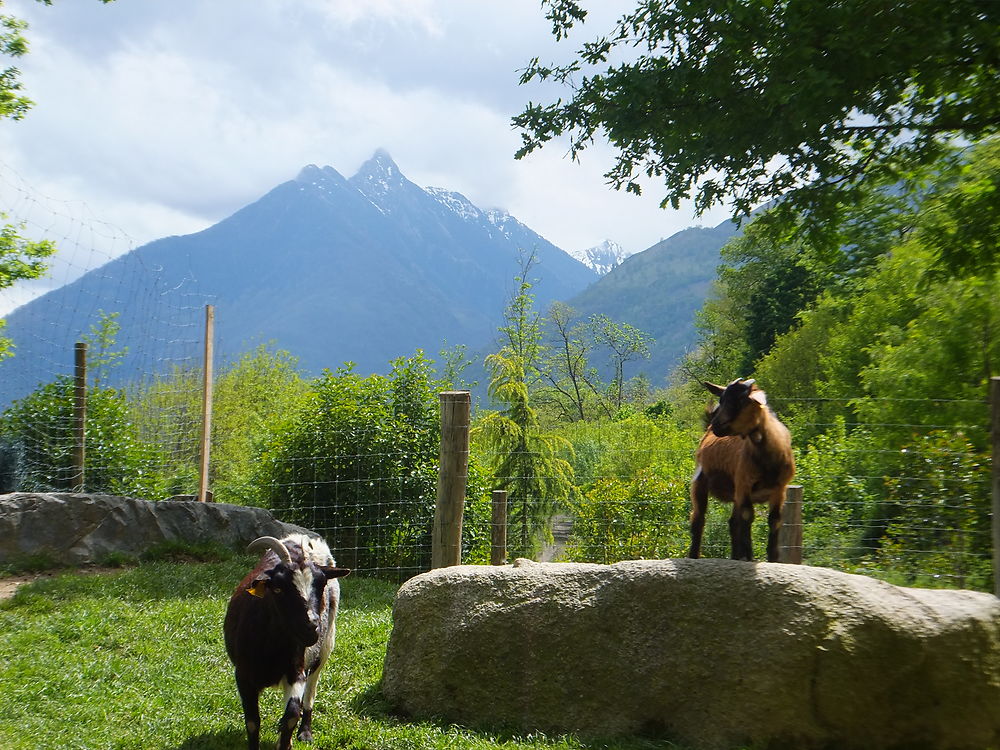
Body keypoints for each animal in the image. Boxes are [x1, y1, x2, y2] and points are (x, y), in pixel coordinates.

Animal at [225, 536, 350, 750]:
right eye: (277, 588)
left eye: (322, 586)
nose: (311, 628)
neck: (270, 647)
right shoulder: (243, 675)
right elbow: (252, 722)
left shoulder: (296, 670)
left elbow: (292, 714)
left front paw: (287, 740)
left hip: (325, 646)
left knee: (310, 692)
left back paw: (305, 732)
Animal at [688, 382, 796, 564]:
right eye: (722, 400)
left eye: (739, 401)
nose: (716, 425)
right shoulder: (744, 483)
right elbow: (747, 516)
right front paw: (748, 556)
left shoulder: (779, 489)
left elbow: (775, 520)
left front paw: (773, 558)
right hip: (701, 482)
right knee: (698, 519)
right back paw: (693, 556)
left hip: (735, 493)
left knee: (732, 523)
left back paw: (735, 557)